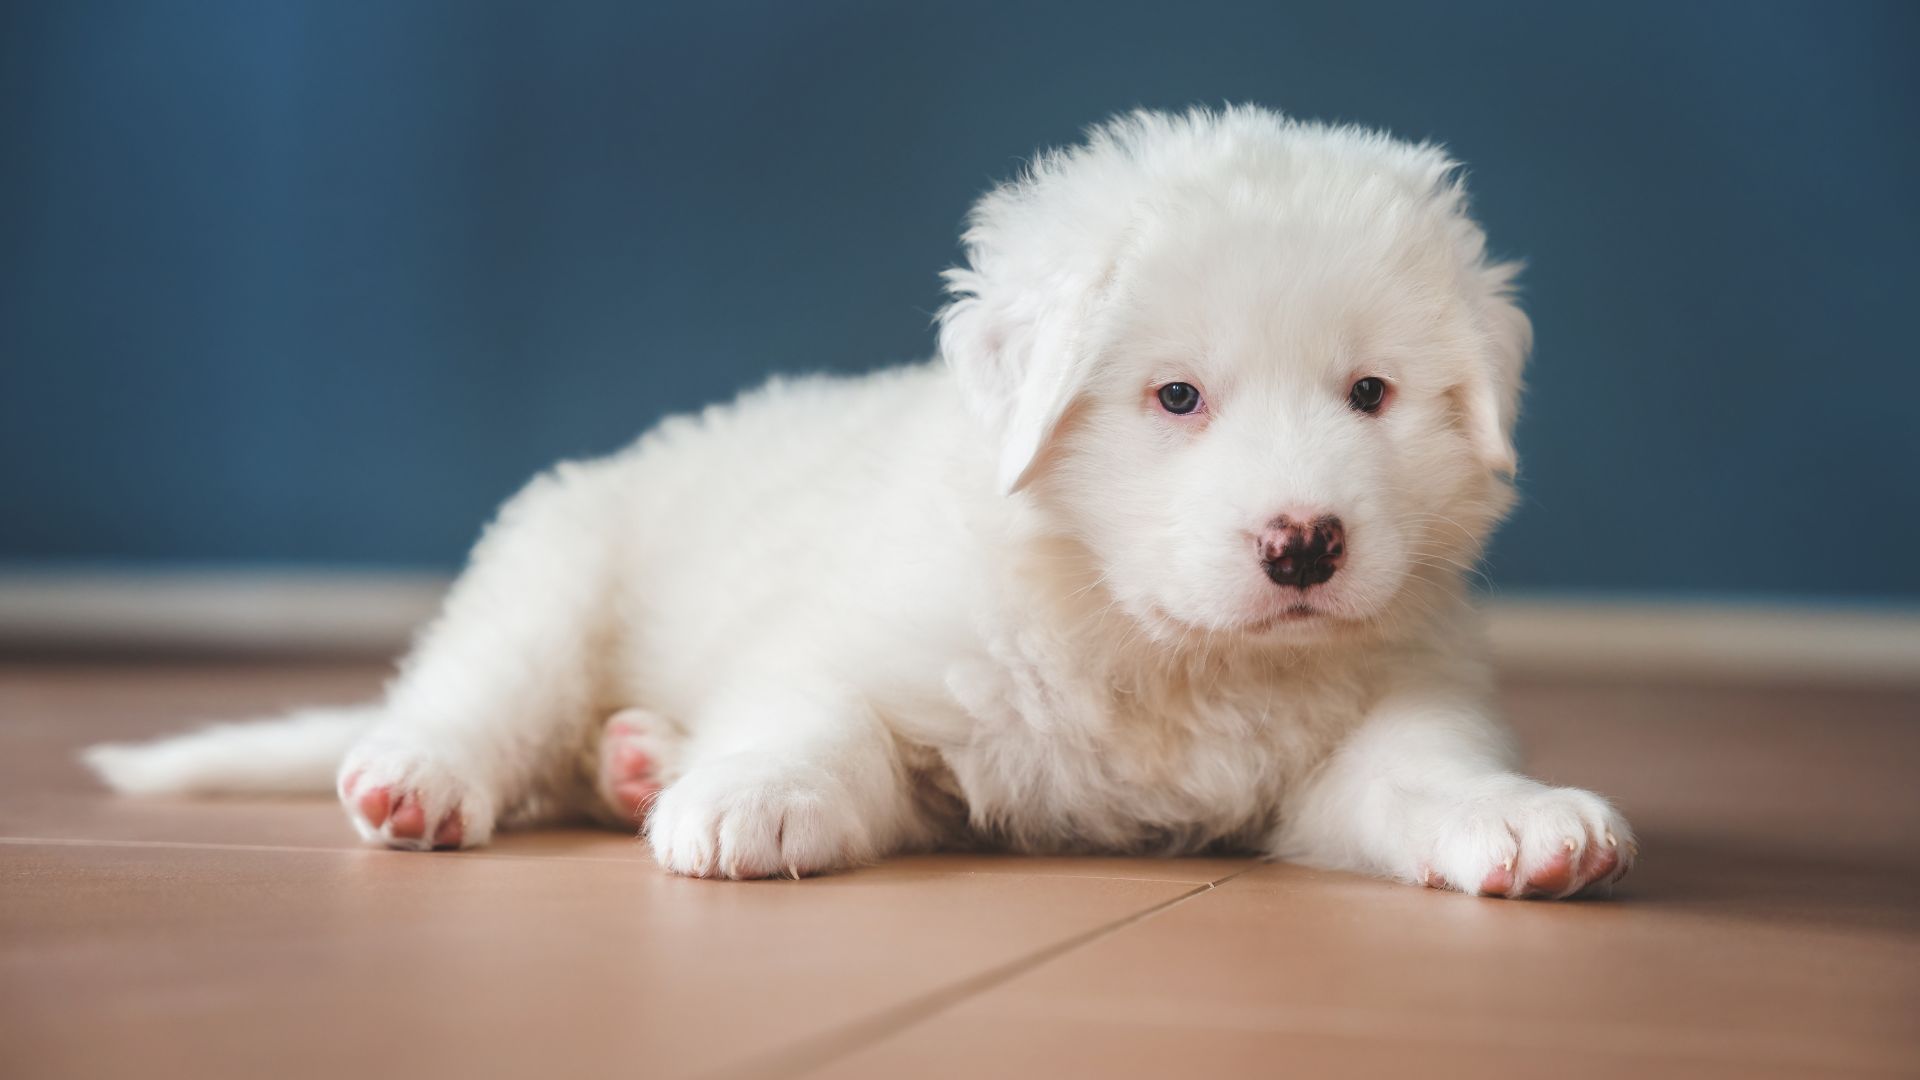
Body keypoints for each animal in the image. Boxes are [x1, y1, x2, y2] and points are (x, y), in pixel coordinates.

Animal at [90, 107, 1635, 899]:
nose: (1306, 545)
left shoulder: (1382, 709)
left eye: (1371, 393)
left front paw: (1528, 823)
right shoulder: (870, 641)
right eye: (1178, 398)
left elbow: (1423, 773)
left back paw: (642, 759)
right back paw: (435, 780)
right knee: (476, 693)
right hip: (555, 565)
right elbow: (817, 722)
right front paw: (751, 799)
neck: (1152, 648)